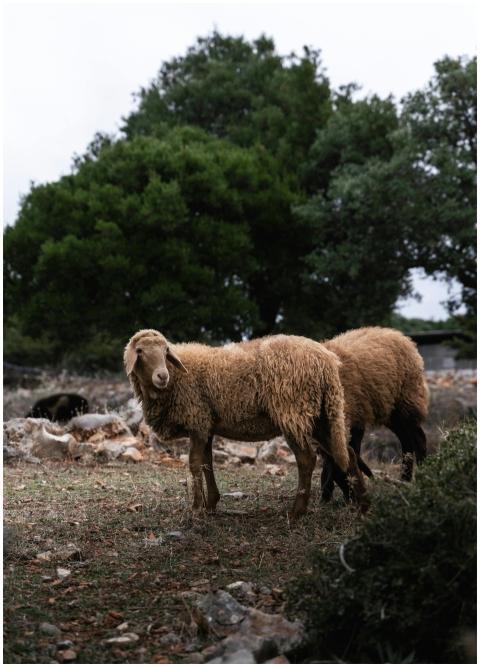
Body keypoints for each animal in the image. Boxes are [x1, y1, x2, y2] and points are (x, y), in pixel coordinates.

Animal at [124, 329, 369, 518]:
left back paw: (296, 512)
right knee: (347, 453)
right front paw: (210, 505)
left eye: (166, 351)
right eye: (140, 351)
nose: (161, 376)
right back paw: (362, 504)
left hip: (292, 411)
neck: (176, 378)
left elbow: (194, 464)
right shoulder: (206, 425)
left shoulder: (197, 421)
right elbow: (207, 463)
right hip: (320, 416)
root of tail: (327, 361)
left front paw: (196, 508)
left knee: (307, 459)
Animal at [319, 327, 429, 502]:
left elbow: (354, 450)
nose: (352, 501)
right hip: (391, 412)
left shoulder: (356, 415)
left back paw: (422, 475)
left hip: (406, 401)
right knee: (406, 440)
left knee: (418, 438)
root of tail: (401, 335)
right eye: (341, 475)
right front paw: (325, 495)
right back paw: (405, 479)